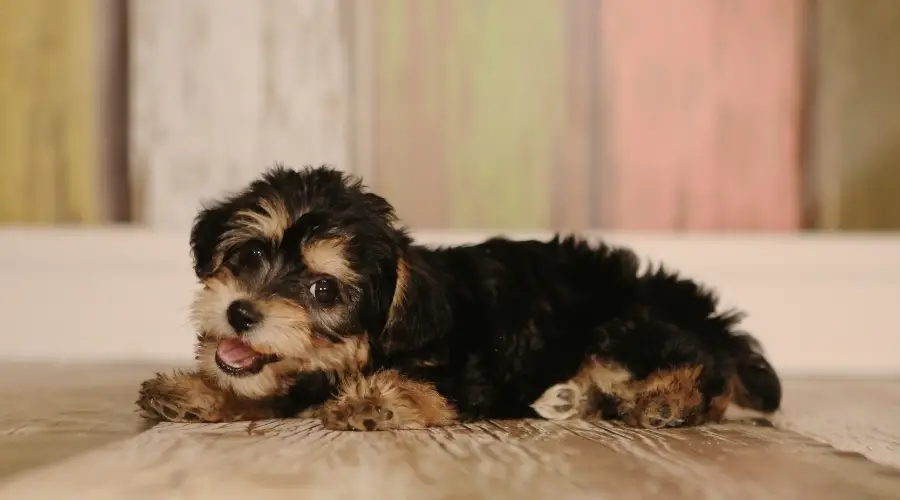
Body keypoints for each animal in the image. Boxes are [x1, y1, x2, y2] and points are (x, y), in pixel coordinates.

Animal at [135, 165, 780, 430]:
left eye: (322, 288)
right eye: (248, 256)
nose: (241, 312)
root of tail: (697, 310)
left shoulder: (467, 373)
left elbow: (426, 387)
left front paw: (377, 401)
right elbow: (262, 389)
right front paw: (196, 392)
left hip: (623, 326)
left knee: (703, 373)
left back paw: (664, 401)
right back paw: (578, 399)